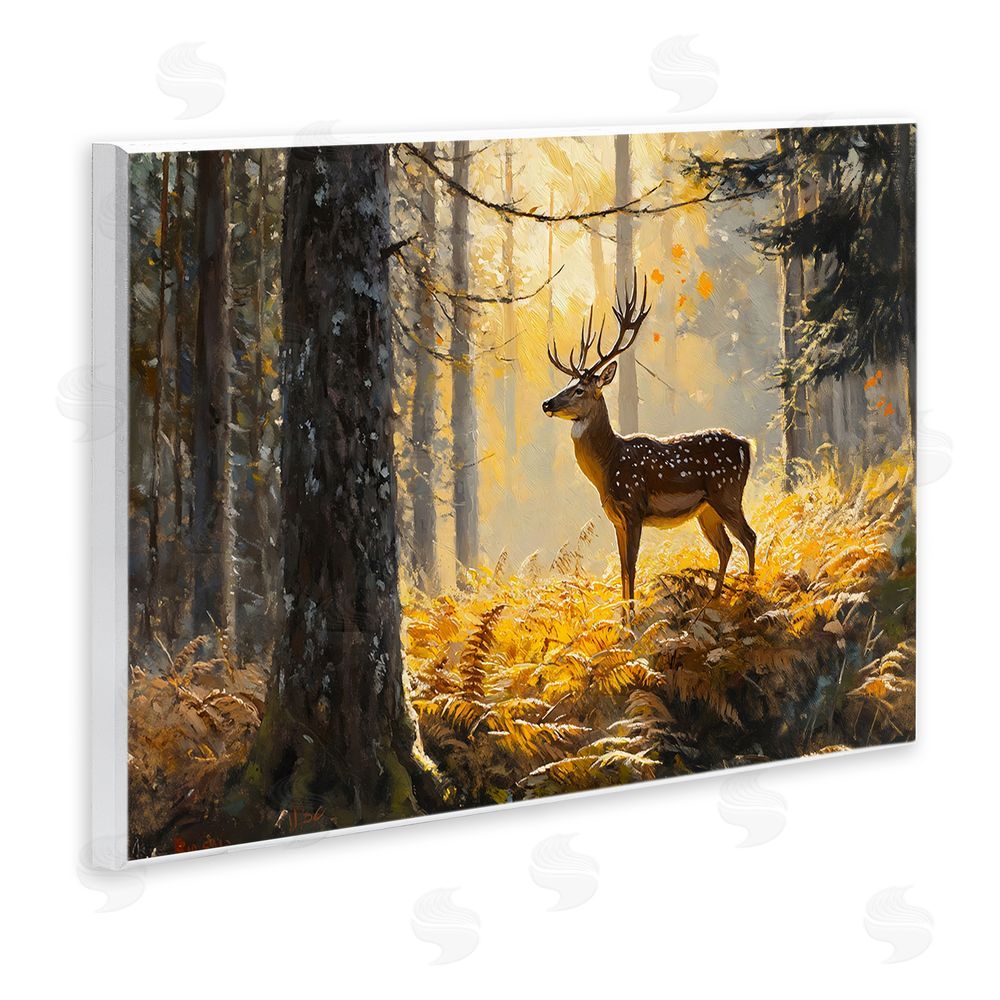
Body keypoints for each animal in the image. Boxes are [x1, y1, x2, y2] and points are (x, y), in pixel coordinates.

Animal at [542, 271, 756, 619]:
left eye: (579, 389)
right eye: (567, 383)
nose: (547, 403)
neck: (608, 465)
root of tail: (747, 445)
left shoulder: (634, 508)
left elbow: (631, 566)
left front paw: (631, 620)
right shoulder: (616, 518)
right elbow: (622, 569)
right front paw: (622, 619)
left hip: (728, 493)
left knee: (749, 537)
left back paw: (750, 592)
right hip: (706, 509)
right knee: (725, 546)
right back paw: (714, 598)